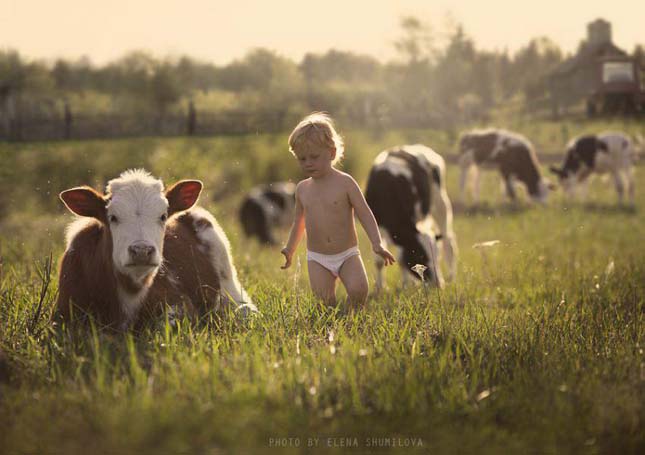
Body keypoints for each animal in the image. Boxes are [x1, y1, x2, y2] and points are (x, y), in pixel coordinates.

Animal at [362, 146, 458, 288]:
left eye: (437, 257)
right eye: (420, 255)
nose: (438, 284)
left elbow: (401, 259)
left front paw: (406, 285)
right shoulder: (376, 225)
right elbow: (381, 261)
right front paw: (381, 288)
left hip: (440, 202)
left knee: (448, 242)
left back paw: (452, 277)